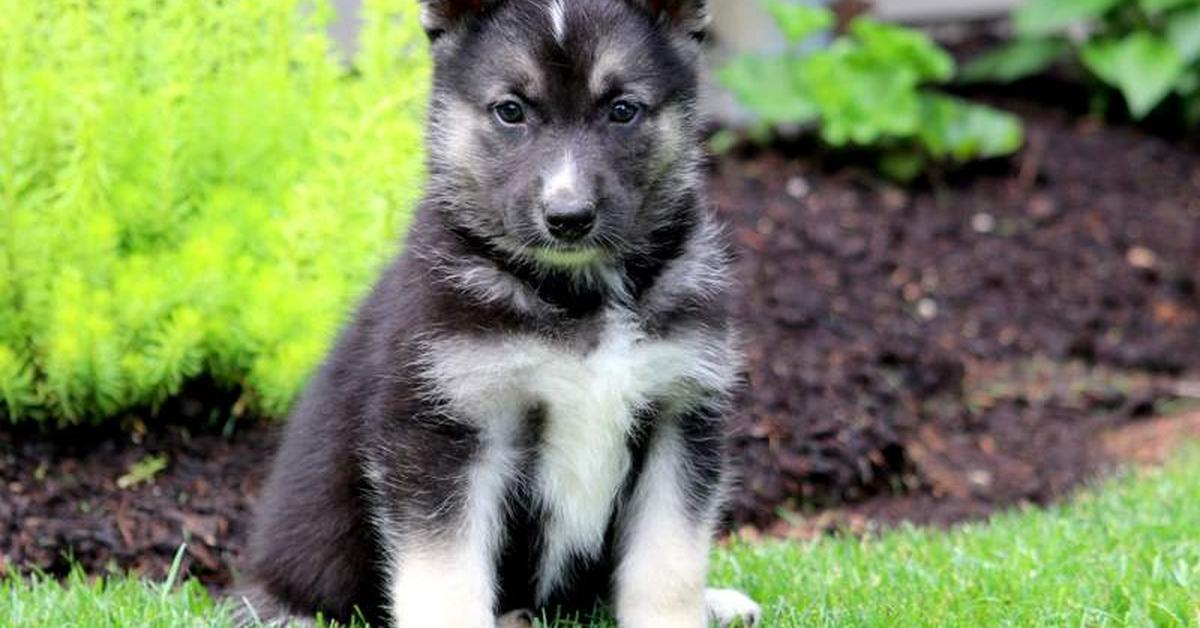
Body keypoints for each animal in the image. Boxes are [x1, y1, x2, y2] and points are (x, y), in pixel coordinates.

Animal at [242, 2, 758, 624]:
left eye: (622, 110)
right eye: (510, 111)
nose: (568, 218)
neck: (577, 292)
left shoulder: (680, 413)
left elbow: (669, 566)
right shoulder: (445, 432)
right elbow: (447, 582)